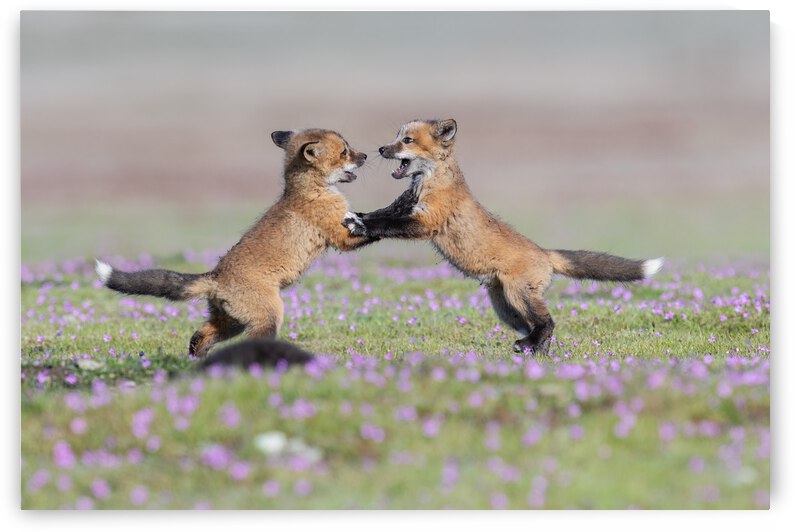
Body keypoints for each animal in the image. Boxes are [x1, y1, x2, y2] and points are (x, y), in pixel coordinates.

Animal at [97, 128, 386, 358]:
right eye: (345, 152)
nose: (366, 155)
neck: (311, 191)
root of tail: (215, 277)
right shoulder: (339, 237)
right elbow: (370, 231)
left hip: (231, 322)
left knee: (199, 336)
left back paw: (197, 363)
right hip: (268, 317)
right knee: (250, 339)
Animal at [343, 118, 664, 354]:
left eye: (407, 141)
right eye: (396, 137)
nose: (381, 149)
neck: (427, 183)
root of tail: (544, 252)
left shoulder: (426, 221)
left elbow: (386, 224)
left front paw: (362, 227)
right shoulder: (403, 205)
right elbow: (379, 214)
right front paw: (356, 218)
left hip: (518, 295)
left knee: (548, 322)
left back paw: (529, 346)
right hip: (506, 310)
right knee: (539, 328)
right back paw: (536, 351)